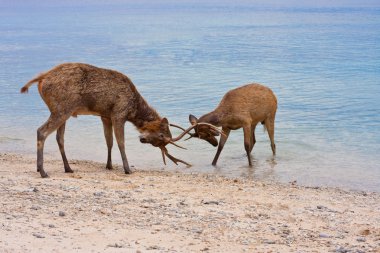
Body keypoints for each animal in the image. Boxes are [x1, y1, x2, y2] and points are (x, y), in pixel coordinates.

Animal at [20, 62, 221, 178]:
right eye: (162, 135)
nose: (142, 139)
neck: (133, 109)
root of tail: (40, 80)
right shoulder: (119, 113)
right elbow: (121, 142)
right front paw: (127, 168)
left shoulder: (105, 115)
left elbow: (108, 141)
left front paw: (109, 165)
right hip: (62, 108)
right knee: (42, 131)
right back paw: (42, 171)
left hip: (65, 112)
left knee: (59, 138)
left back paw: (67, 168)